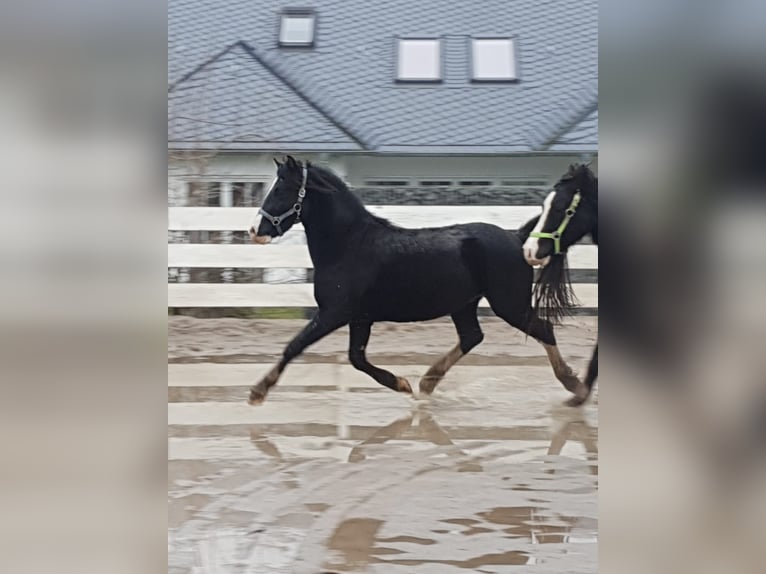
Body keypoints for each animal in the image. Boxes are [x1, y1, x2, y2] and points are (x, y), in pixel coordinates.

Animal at [247, 155, 583, 404]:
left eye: (281, 189)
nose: (255, 230)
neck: (350, 244)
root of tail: (517, 238)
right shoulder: (359, 317)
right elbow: (356, 358)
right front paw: (402, 383)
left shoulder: (334, 313)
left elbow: (295, 345)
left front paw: (258, 391)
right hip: (465, 304)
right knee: (472, 336)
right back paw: (427, 382)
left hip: (508, 303)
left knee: (543, 329)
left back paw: (574, 385)